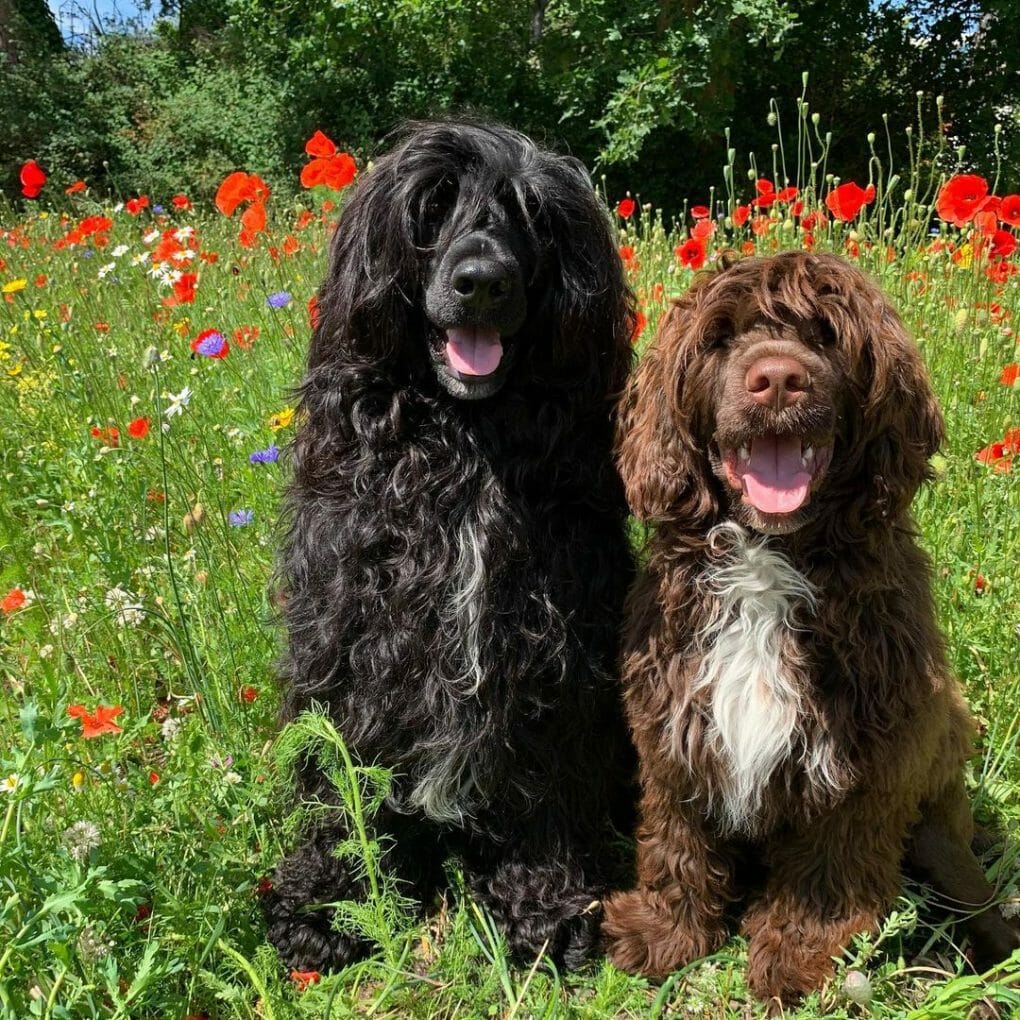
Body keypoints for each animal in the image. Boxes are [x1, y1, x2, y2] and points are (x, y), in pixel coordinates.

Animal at [265, 121, 628, 971]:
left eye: (533, 217)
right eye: (432, 207)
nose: (482, 282)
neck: (465, 444)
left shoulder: (553, 651)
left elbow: (544, 783)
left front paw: (544, 906)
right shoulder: (351, 634)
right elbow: (342, 778)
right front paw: (332, 900)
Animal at [599, 252, 1015, 1003]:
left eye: (825, 334)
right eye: (721, 338)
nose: (777, 379)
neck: (771, 559)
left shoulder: (862, 760)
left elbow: (828, 868)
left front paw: (798, 954)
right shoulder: (675, 729)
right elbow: (679, 841)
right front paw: (665, 931)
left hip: (941, 823)